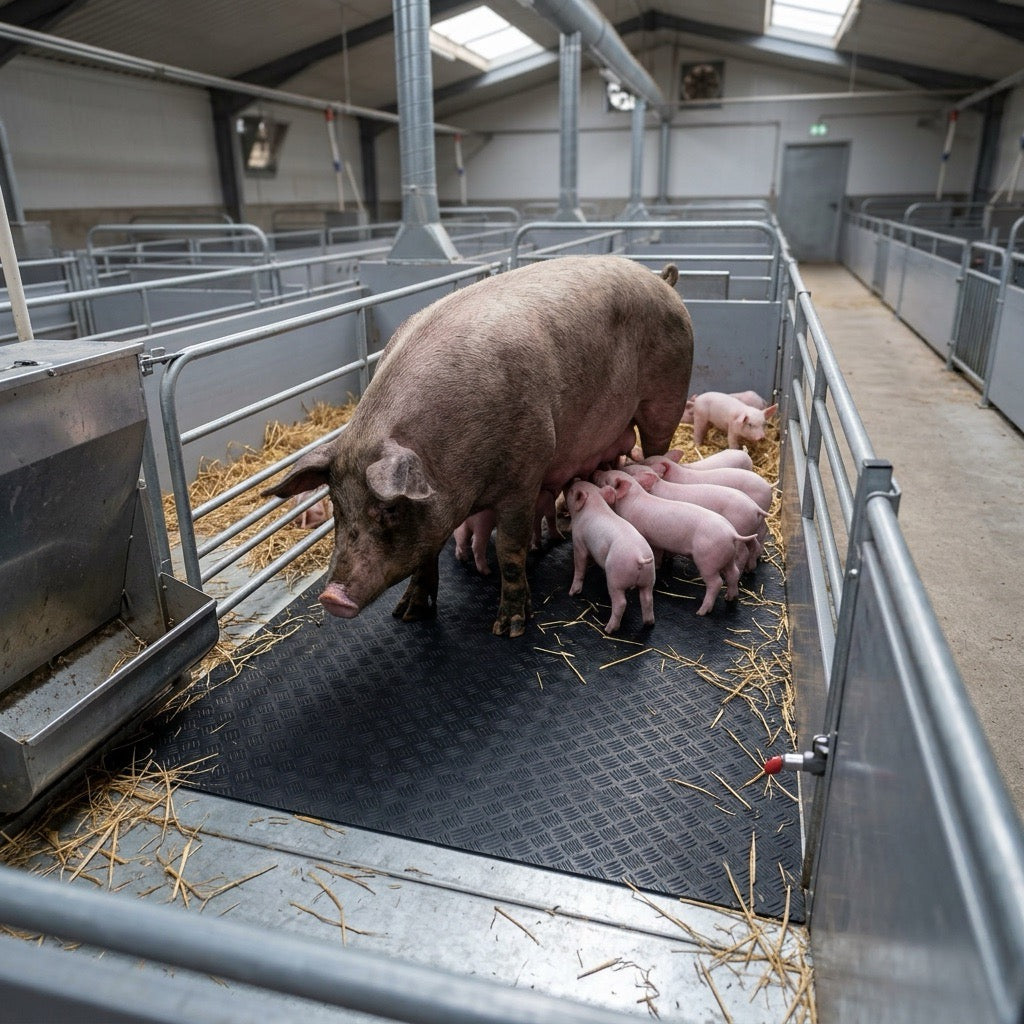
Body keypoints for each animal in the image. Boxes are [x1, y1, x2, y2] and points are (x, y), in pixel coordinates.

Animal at [565, 479, 655, 634]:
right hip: (648, 577)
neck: (595, 502)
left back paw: (608, 629)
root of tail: (639, 557)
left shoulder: (578, 541)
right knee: (648, 598)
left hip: (615, 578)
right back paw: (649, 623)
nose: (570, 482)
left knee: (621, 603)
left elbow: (580, 565)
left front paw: (572, 593)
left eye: (571, 490)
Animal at [593, 470, 754, 616]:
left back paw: (701, 612)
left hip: (708, 560)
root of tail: (731, 534)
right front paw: (658, 565)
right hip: (728, 557)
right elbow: (657, 555)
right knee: (733, 573)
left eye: (607, 479)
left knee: (716, 583)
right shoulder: (656, 543)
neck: (631, 500)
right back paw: (729, 598)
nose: (596, 472)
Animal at [621, 464, 766, 572]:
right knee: (754, 544)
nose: (622, 467)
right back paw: (750, 568)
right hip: (749, 529)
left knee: (743, 553)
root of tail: (755, 508)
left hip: (741, 527)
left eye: (631, 471)